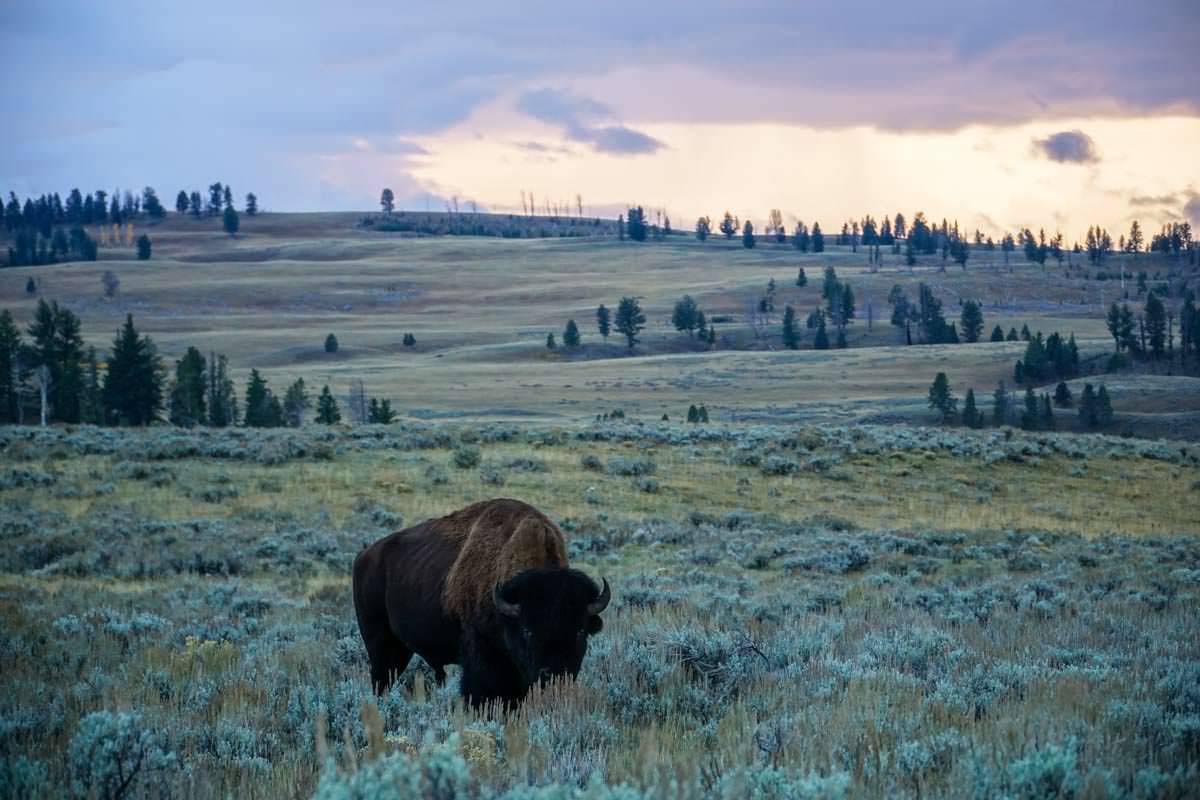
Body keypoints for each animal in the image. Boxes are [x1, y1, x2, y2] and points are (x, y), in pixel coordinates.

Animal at [350, 496, 609, 710]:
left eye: (580, 631)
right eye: (527, 631)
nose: (554, 674)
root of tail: (363, 557)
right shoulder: (482, 661)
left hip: (401, 648)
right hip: (378, 642)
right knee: (380, 679)